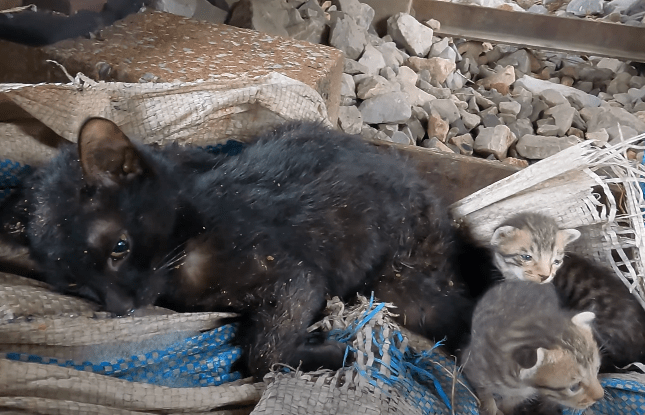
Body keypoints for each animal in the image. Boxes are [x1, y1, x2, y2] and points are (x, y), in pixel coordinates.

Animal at [16, 117, 478, 380]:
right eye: (75, 285)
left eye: (119, 247)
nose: (120, 307)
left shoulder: (295, 277)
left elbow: (264, 353)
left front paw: (338, 350)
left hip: (407, 287)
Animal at [462, 280, 604, 415]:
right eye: (574, 386)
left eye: (597, 369)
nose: (600, 397)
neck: (518, 385)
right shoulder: (471, 366)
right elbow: (484, 392)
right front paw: (490, 407)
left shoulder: (526, 392)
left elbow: (511, 401)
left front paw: (505, 409)